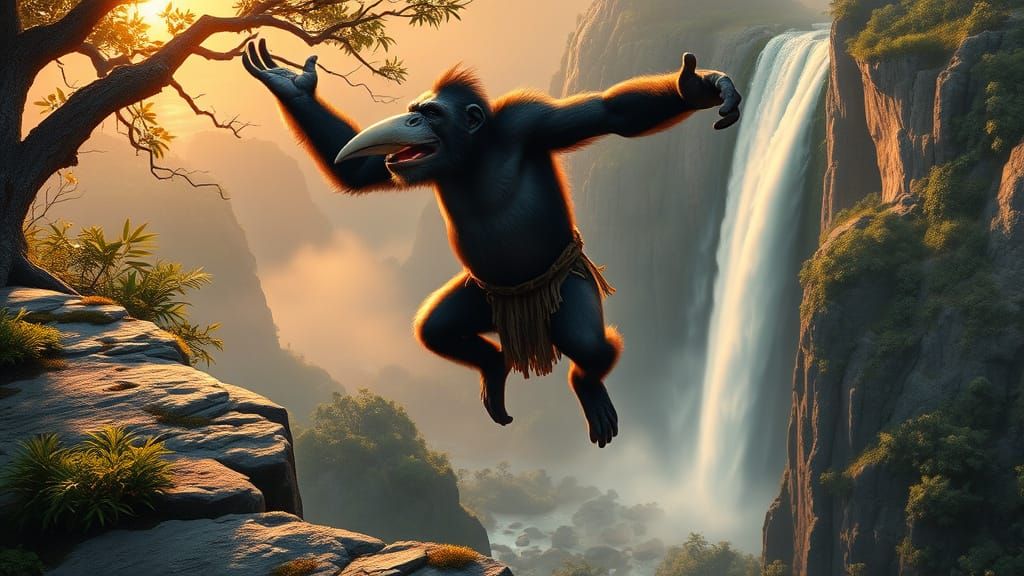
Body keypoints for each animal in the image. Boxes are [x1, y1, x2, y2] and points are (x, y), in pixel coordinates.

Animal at [243, 39, 741, 448]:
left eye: (430, 114)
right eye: (414, 110)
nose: (410, 119)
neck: (474, 154)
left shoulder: (531, 119)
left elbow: (613, 113)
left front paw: (698, 87)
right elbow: (360, 171)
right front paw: (292, 86)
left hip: (569, 283)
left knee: (588, 344)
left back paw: (587, 386)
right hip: (483, 296)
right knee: (436, 329)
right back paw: (494, 366)